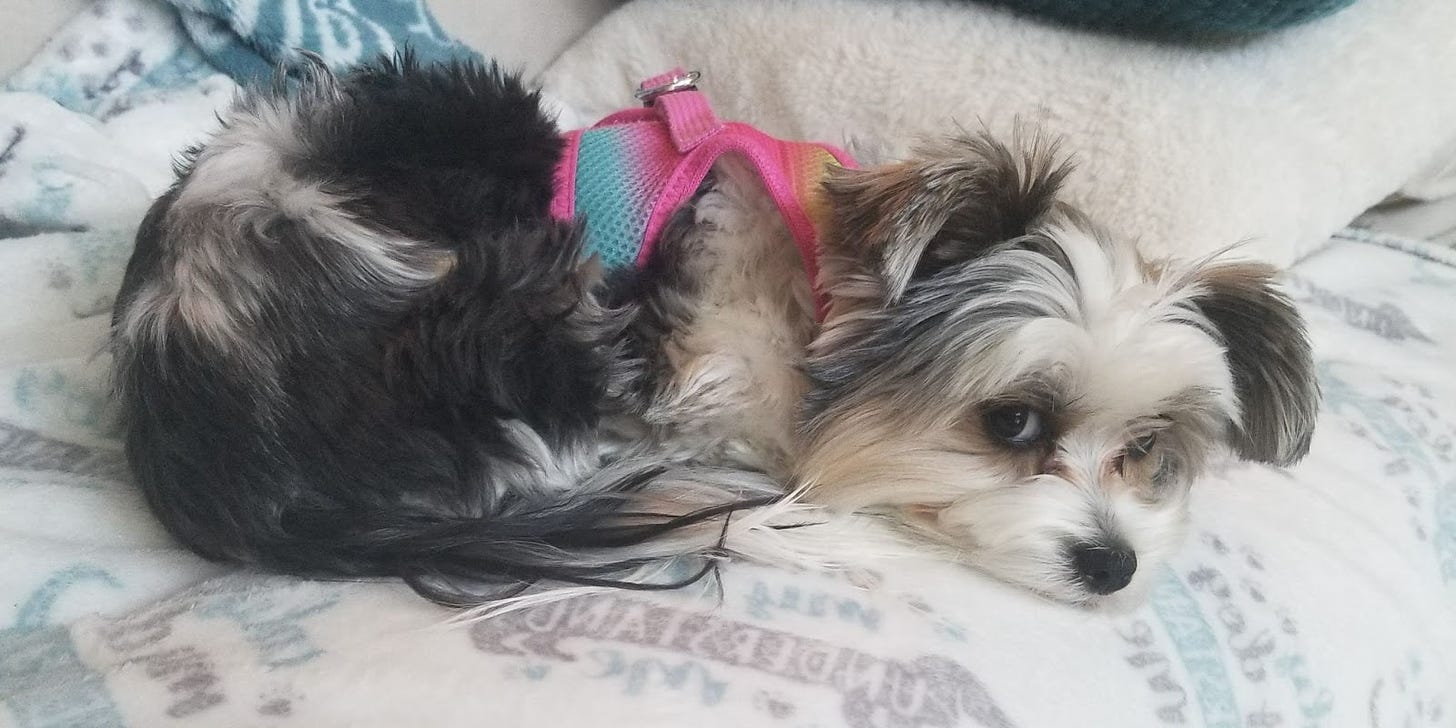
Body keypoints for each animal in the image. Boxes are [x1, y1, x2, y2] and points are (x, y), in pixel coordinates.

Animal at [113, 56, 1322, 611]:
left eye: (1146, 450)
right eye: (1014, 422)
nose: (1114, 565)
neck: (816, 292)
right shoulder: (708, 371)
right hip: (526, 266)